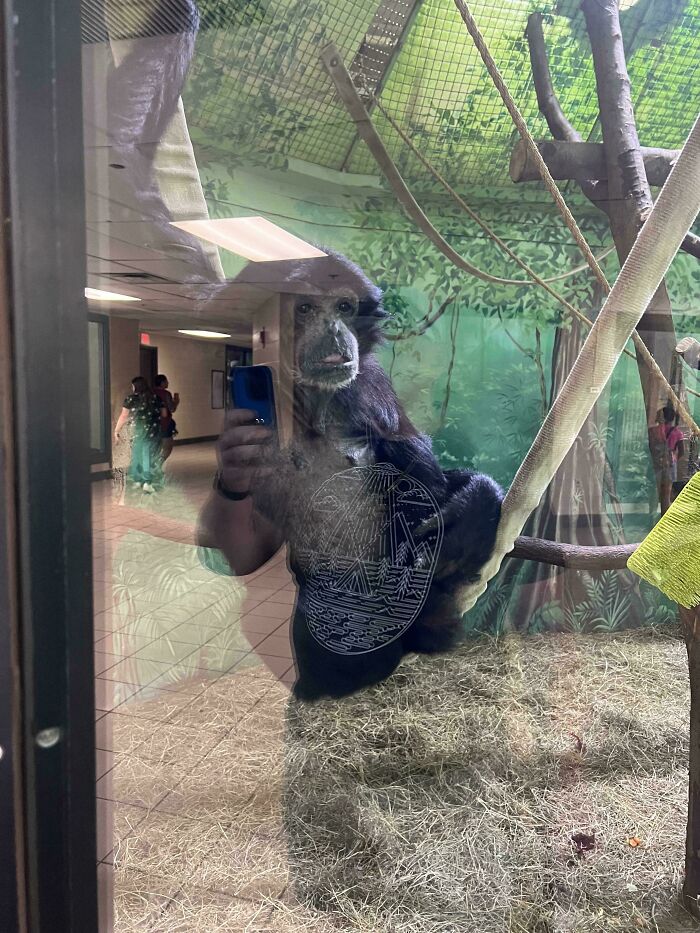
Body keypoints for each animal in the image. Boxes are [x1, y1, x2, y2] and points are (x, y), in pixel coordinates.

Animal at [197, 251, 503, 701]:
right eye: (305, 308)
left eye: (343, 307)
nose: (333, 328)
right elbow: (248, 555)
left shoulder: (373, 384)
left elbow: (425, 480)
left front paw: (466, 507)